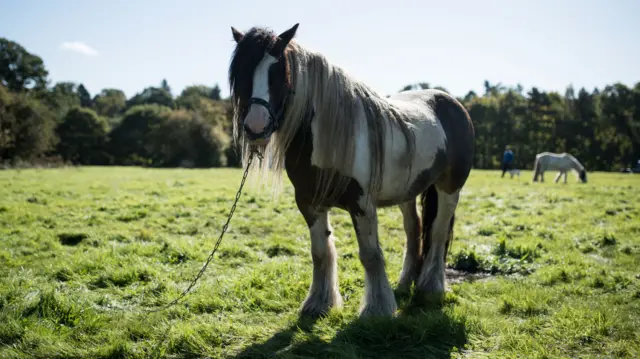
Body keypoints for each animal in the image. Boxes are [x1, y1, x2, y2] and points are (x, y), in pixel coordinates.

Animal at [228, 23, 472, 318]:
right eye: (242, 72)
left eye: (279, 72)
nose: (256, 126)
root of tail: (451, 103)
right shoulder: (309, 204)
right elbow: (320, 252)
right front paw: (319, 303)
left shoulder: (362, 204)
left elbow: (370, 254)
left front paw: (377, 309)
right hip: (408, 191)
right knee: (413, 230)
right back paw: (405, 282)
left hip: (450, 188)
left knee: (437, 232)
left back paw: (431, 287)